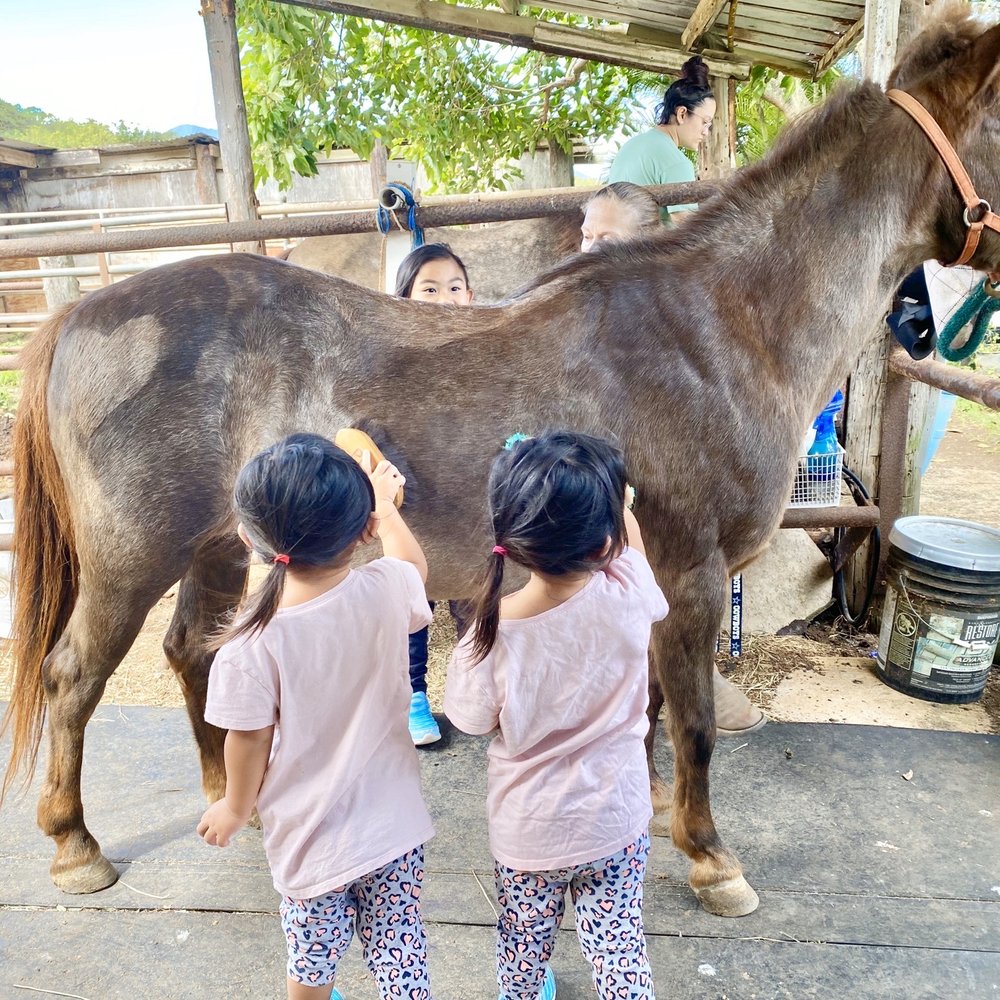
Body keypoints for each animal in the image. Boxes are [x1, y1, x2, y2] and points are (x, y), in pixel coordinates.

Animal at [4, 9, 1000, 917]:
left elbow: (643, 715)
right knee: (73, 676)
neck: (718, 331)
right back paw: (75, 847)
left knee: (193, 653)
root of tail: (77, 316)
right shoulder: (692, 573)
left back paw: (232, 806)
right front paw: (713, 862)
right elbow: (695, 725)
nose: (924, 326)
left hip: (215, 545)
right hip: (132, 556)